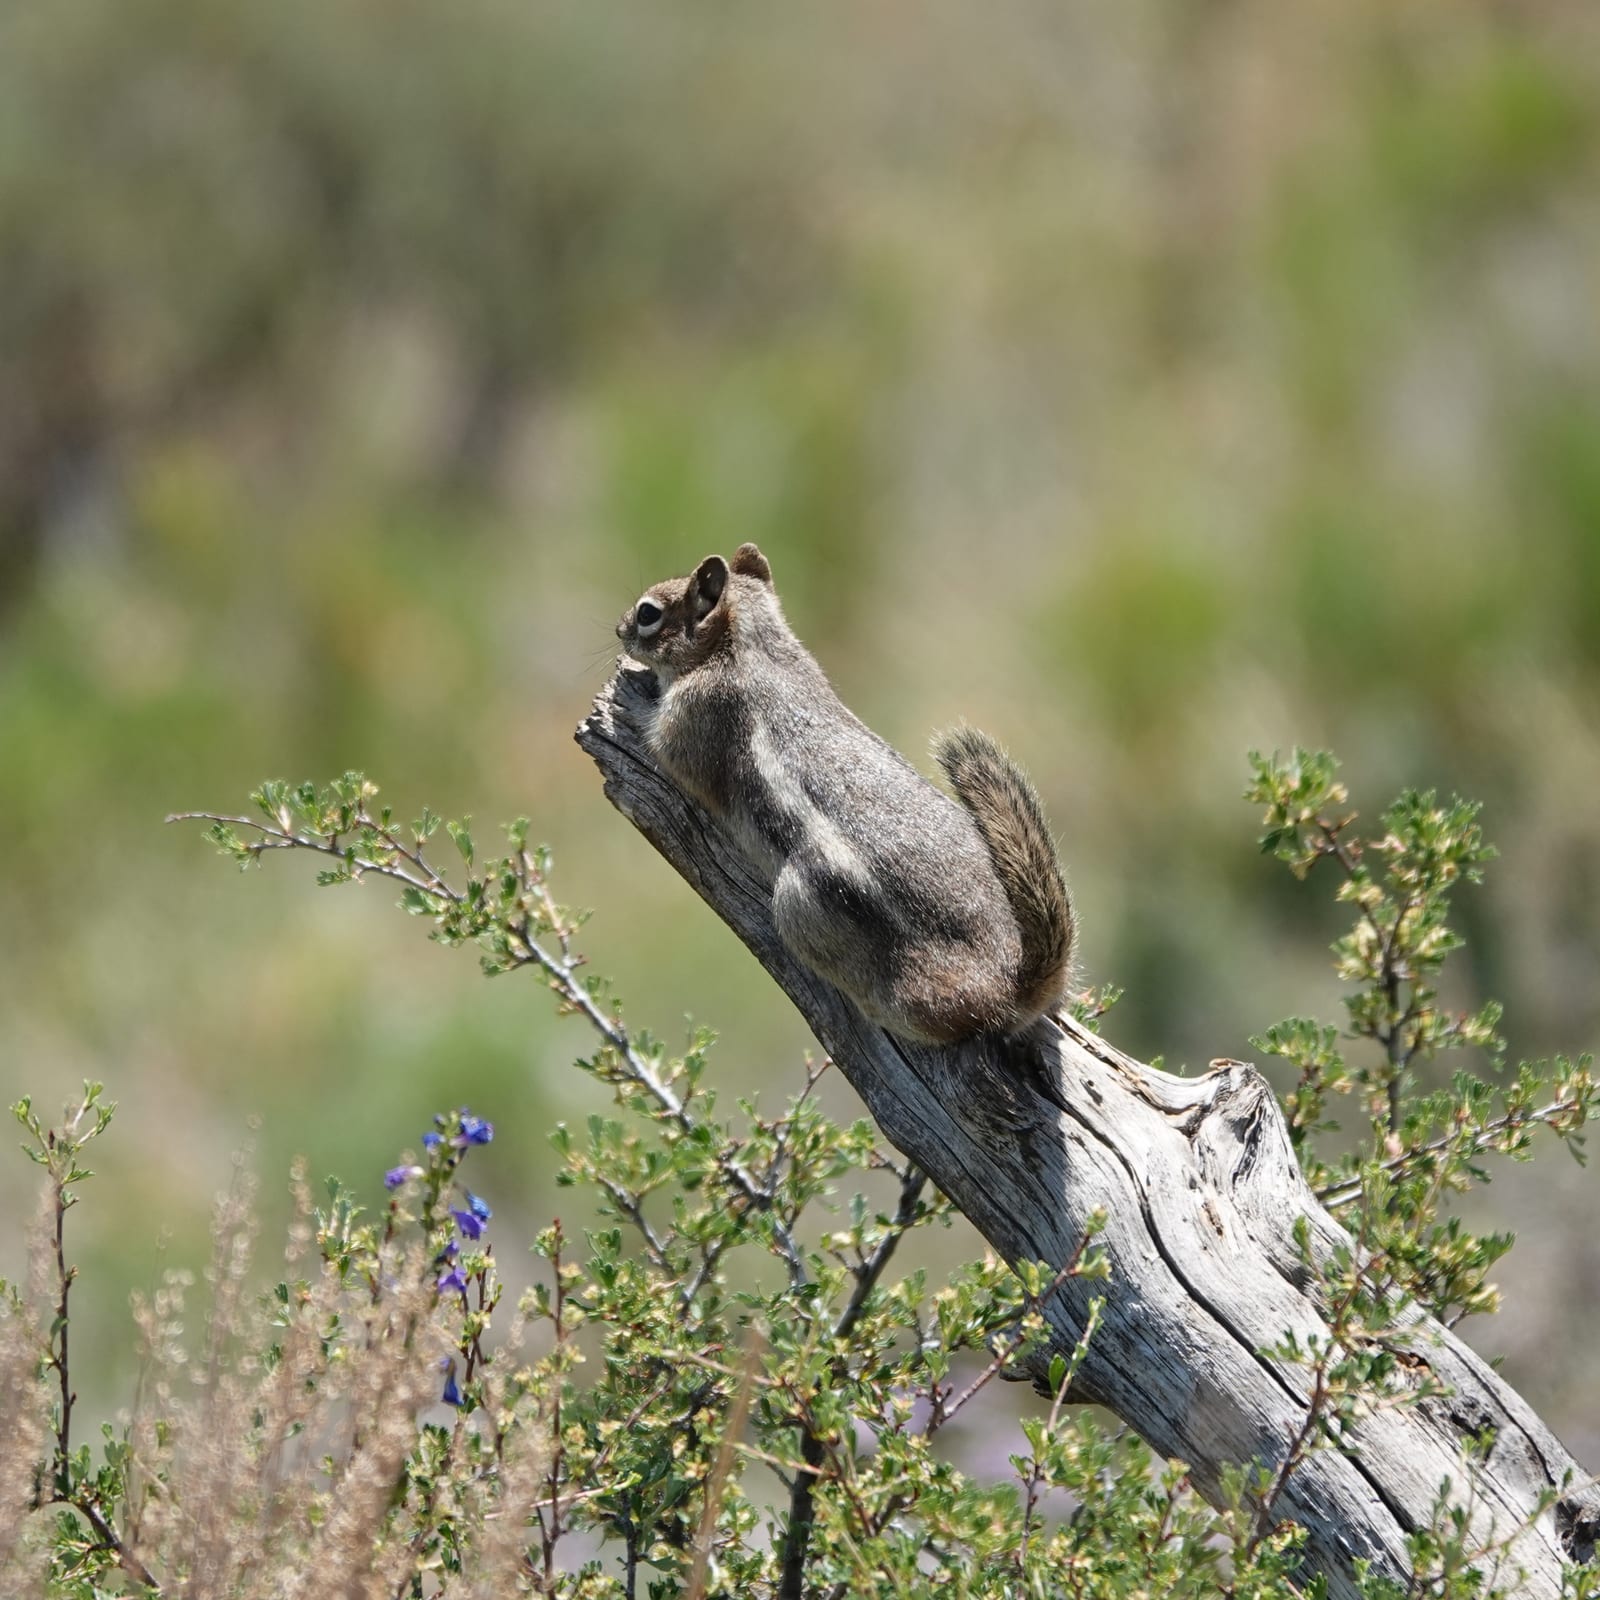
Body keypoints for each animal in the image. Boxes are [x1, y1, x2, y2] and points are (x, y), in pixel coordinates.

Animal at [614, 543, 1074, 1045]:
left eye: (648, 613)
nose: (619, 630)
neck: (755, 645)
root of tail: (1013, 985)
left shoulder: (696, 714)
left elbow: (667, 749)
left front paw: (633, 695)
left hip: (801, 905)